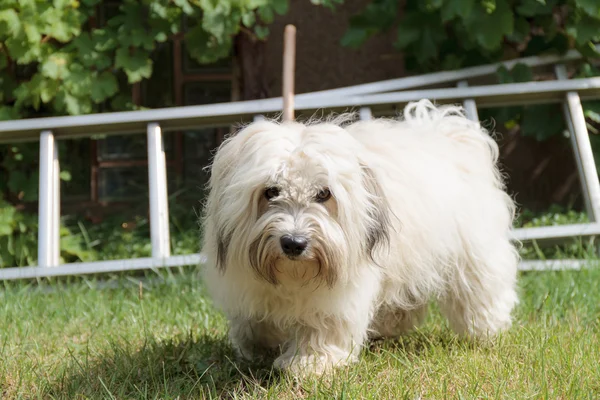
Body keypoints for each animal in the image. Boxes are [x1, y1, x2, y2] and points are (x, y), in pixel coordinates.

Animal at [199, 100, 516, 376]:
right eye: (271, 191)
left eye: (324, 193)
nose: (293, 243)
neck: (294, 276)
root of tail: (447, 134)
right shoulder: (248, 286)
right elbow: (253, 322)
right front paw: (257, 347)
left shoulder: (338, 295)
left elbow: (324, 326)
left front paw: (311, 363)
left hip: (472, 254)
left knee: (479, 290)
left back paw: (485, 329)